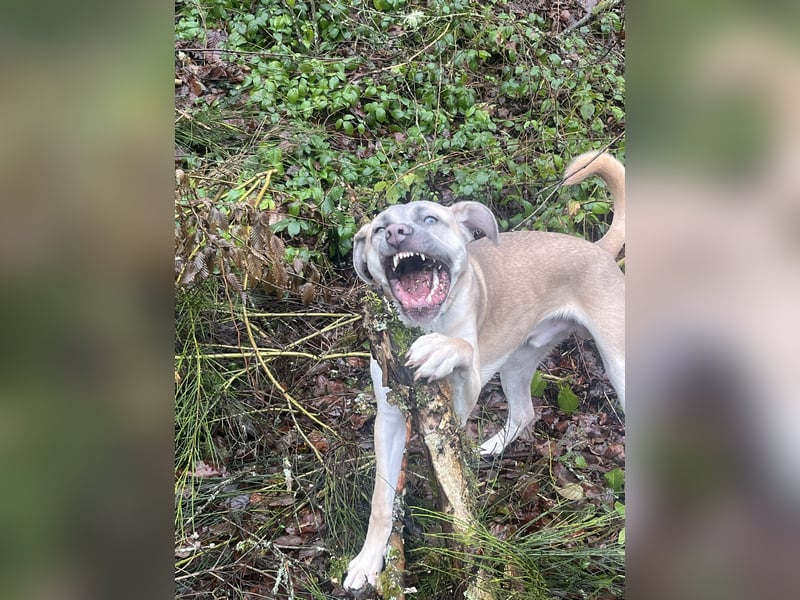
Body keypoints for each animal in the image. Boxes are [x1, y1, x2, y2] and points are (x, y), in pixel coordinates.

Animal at [343, 151, 625, 591]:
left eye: (429, 219)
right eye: (377, 230)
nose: (396, 233)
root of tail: (598, 248)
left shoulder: (461, 397)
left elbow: (459, 350)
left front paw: (440, 349)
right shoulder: (389, 417)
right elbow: (381, 499)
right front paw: (369, 559)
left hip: (619, 364)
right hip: (517, 362)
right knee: (525, 412)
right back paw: (491, 448)